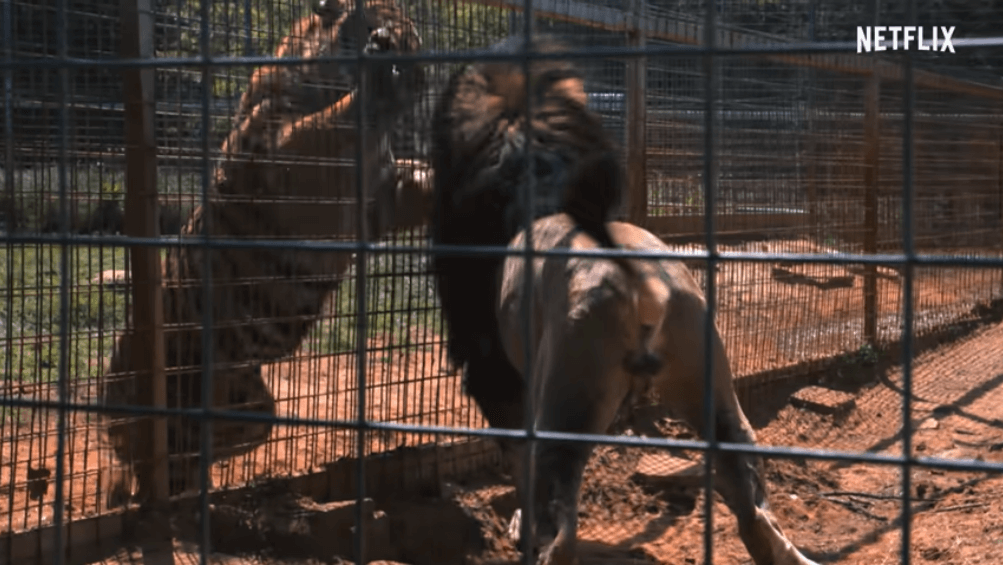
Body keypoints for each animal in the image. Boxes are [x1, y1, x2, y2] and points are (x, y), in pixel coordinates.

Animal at [99, 0, 428, 507]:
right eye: (396, 28)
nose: (423, 69)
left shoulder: (380, 199)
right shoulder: (288, 159)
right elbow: (336, 118)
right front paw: (383, 75)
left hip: (255, 405)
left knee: (195, 448)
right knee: (140, 456)